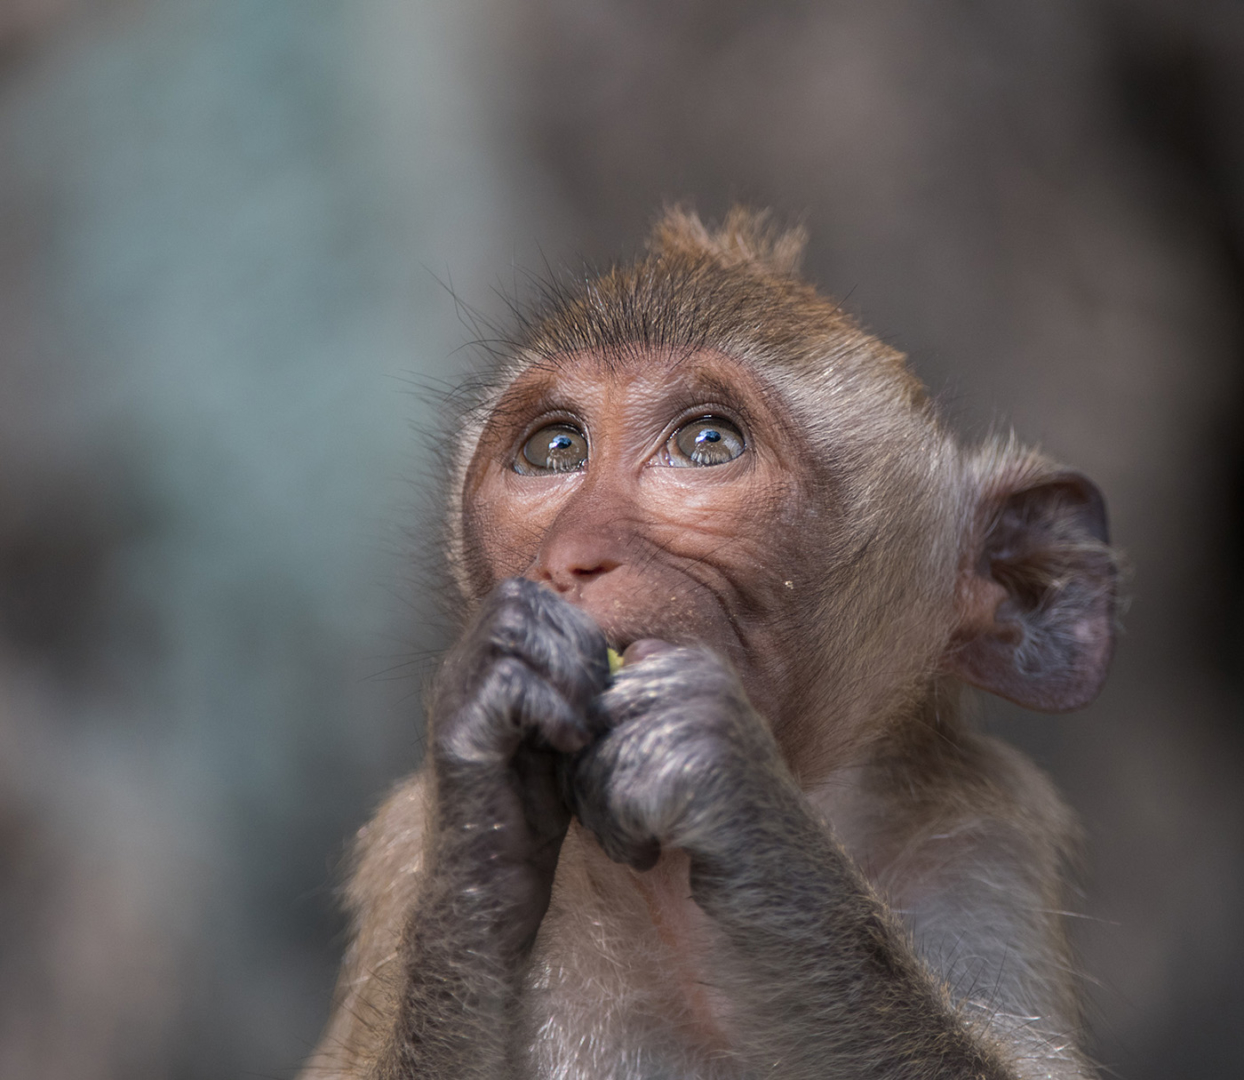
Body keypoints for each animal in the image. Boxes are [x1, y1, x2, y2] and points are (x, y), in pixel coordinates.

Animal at [299, 207, 1116, 1080]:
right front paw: (485, 768)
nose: (569, 558)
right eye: (555, 449)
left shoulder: (984, 833)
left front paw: (726, 787)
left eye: (708, 443)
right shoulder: (399, 846)